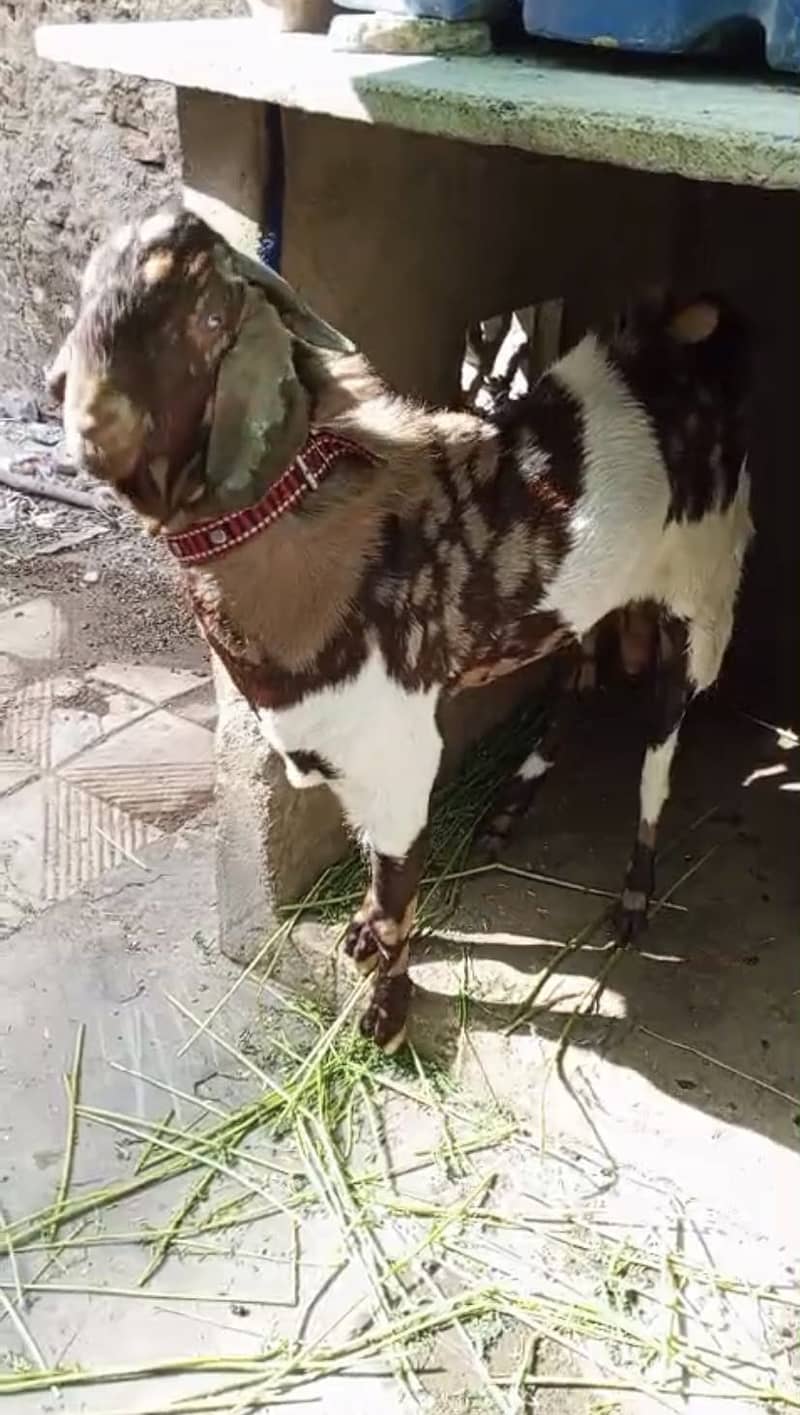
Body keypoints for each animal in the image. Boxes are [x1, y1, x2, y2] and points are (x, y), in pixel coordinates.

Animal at [48, 207, 754, 1053]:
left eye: (210, 318)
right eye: (85, 288)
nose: (85, 417)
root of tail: (680, 343)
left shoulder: (398, 748)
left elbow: (395, 891)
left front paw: (384, 1018)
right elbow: (372, 871)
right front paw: (357, 941)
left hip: (703, 598)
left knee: (658, 748)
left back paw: (633, 900)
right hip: (588, 599)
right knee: (578, 686)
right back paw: (505, 813)